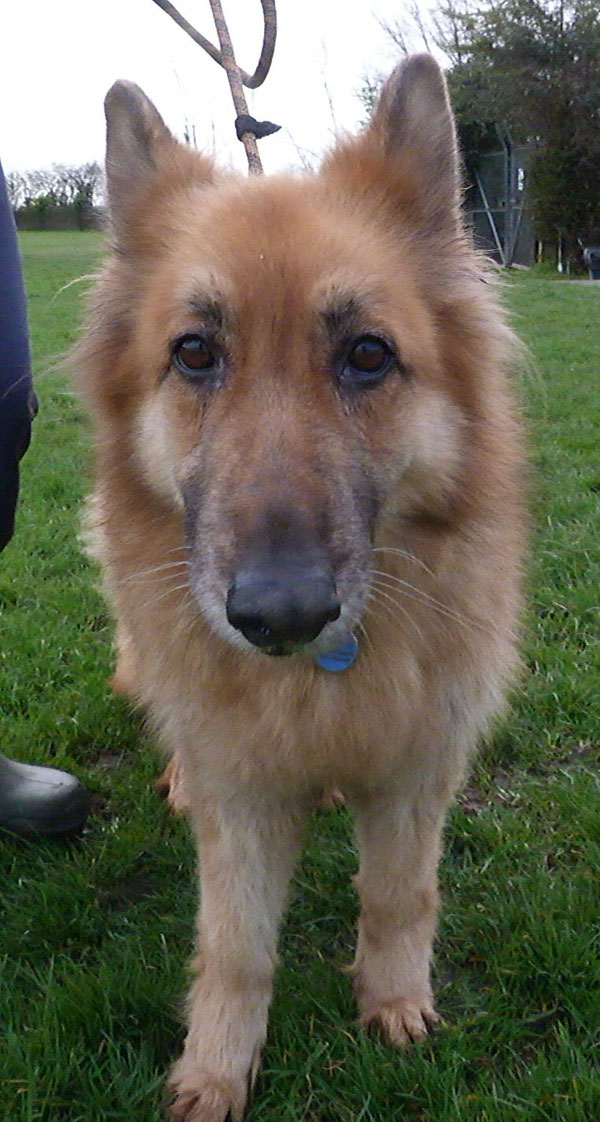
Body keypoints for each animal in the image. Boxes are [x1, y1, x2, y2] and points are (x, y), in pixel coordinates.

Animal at [75, 54, 524, 1122]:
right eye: (195, 352)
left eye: (367, 355)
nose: (280, 616)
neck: (320, 686)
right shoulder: (243, 789)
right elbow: (237, 946)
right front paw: (214, 1069)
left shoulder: (416, 766)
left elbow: (399, 896)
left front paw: (394, 1002)